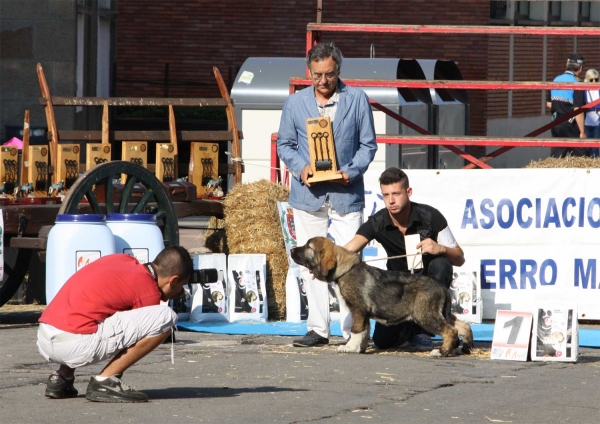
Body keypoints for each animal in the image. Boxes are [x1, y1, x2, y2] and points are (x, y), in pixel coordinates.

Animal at [290, 237, 474, 356]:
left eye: (308, 247)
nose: (291, 249)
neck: (345, 270)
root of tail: (443, 289)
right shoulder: (363, 314)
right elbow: (364, 331)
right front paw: (360, 348)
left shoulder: (358, 309)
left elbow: (356, 330)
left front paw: (350, 348)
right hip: (441, 313)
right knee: (463, 326)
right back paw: (463, 348)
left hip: (425, 315)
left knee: (450, 331)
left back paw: (441, 351)